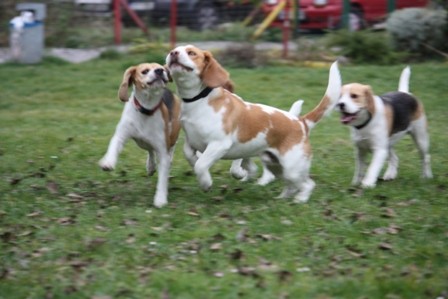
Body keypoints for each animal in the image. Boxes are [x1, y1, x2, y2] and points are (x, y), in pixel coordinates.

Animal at [99, 62, 181, 209]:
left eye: (162, 69)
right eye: (145, 71)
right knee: (150, 150)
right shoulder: (121, 135)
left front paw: (160, 199)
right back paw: (150, 166)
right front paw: (108, 162)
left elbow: (162, 176)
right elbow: (113, 146)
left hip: (172, 135)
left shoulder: (162, 148)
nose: (160, 71)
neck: (146, 109)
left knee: (169, 150)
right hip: (142, 143)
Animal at [166, 45, 342, 204]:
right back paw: (282, 199)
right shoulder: (191, 141)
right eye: (174, 50)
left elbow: (200, 165)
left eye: (191, 53)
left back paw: (300, 200)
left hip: (292, 168)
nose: (173, 53)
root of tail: (301, 122)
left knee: (308, 184)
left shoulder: (219, 144)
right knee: (291, 185)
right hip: (276, 166)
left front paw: (206, 184)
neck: (198, 100)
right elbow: (191, 157)